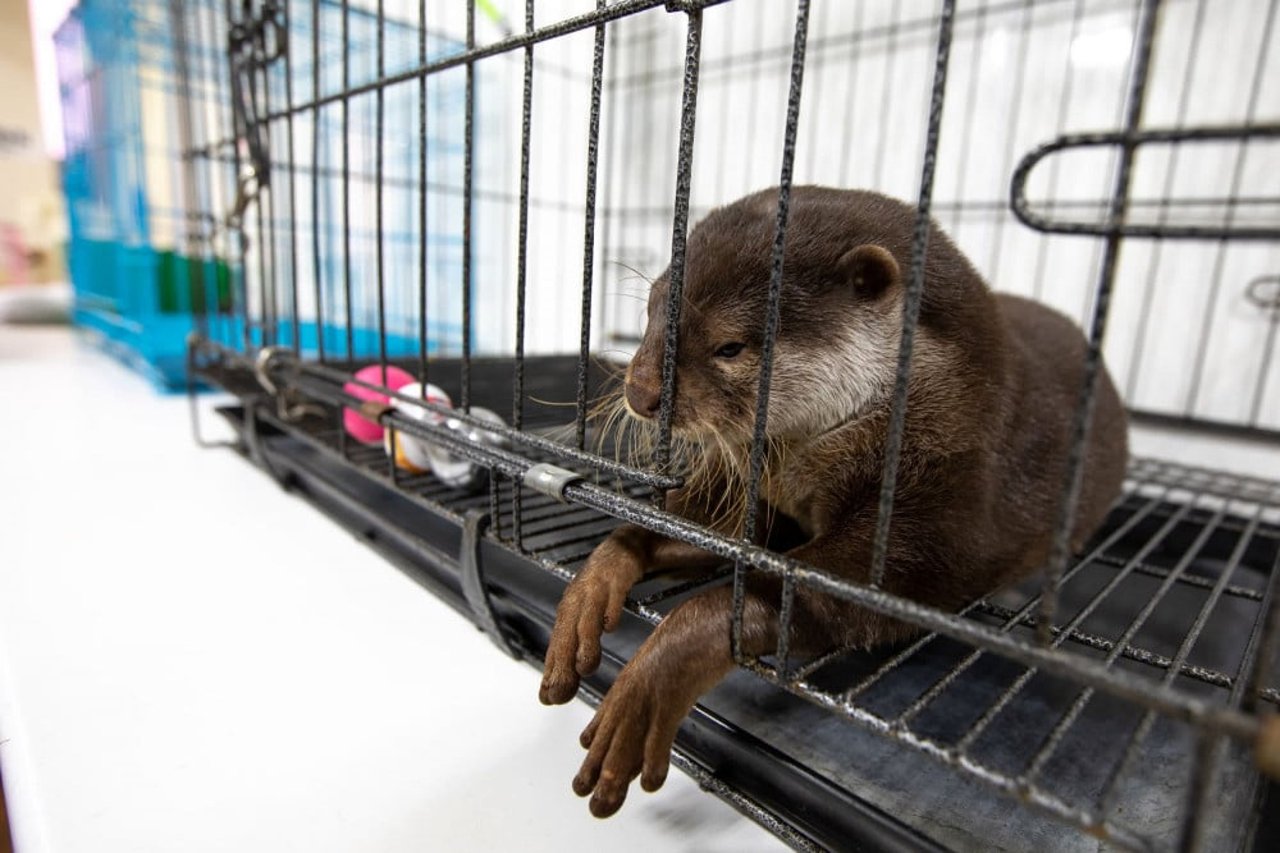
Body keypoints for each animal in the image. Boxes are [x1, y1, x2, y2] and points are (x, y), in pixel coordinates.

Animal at [540, 188, 1131, 819]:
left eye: (730, 346)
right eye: (651, 312)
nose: (640, 392)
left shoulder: (946, 498)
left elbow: (809, 594)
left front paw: (652, 680)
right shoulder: (756, 492)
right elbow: (677, 530)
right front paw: (592, 585)